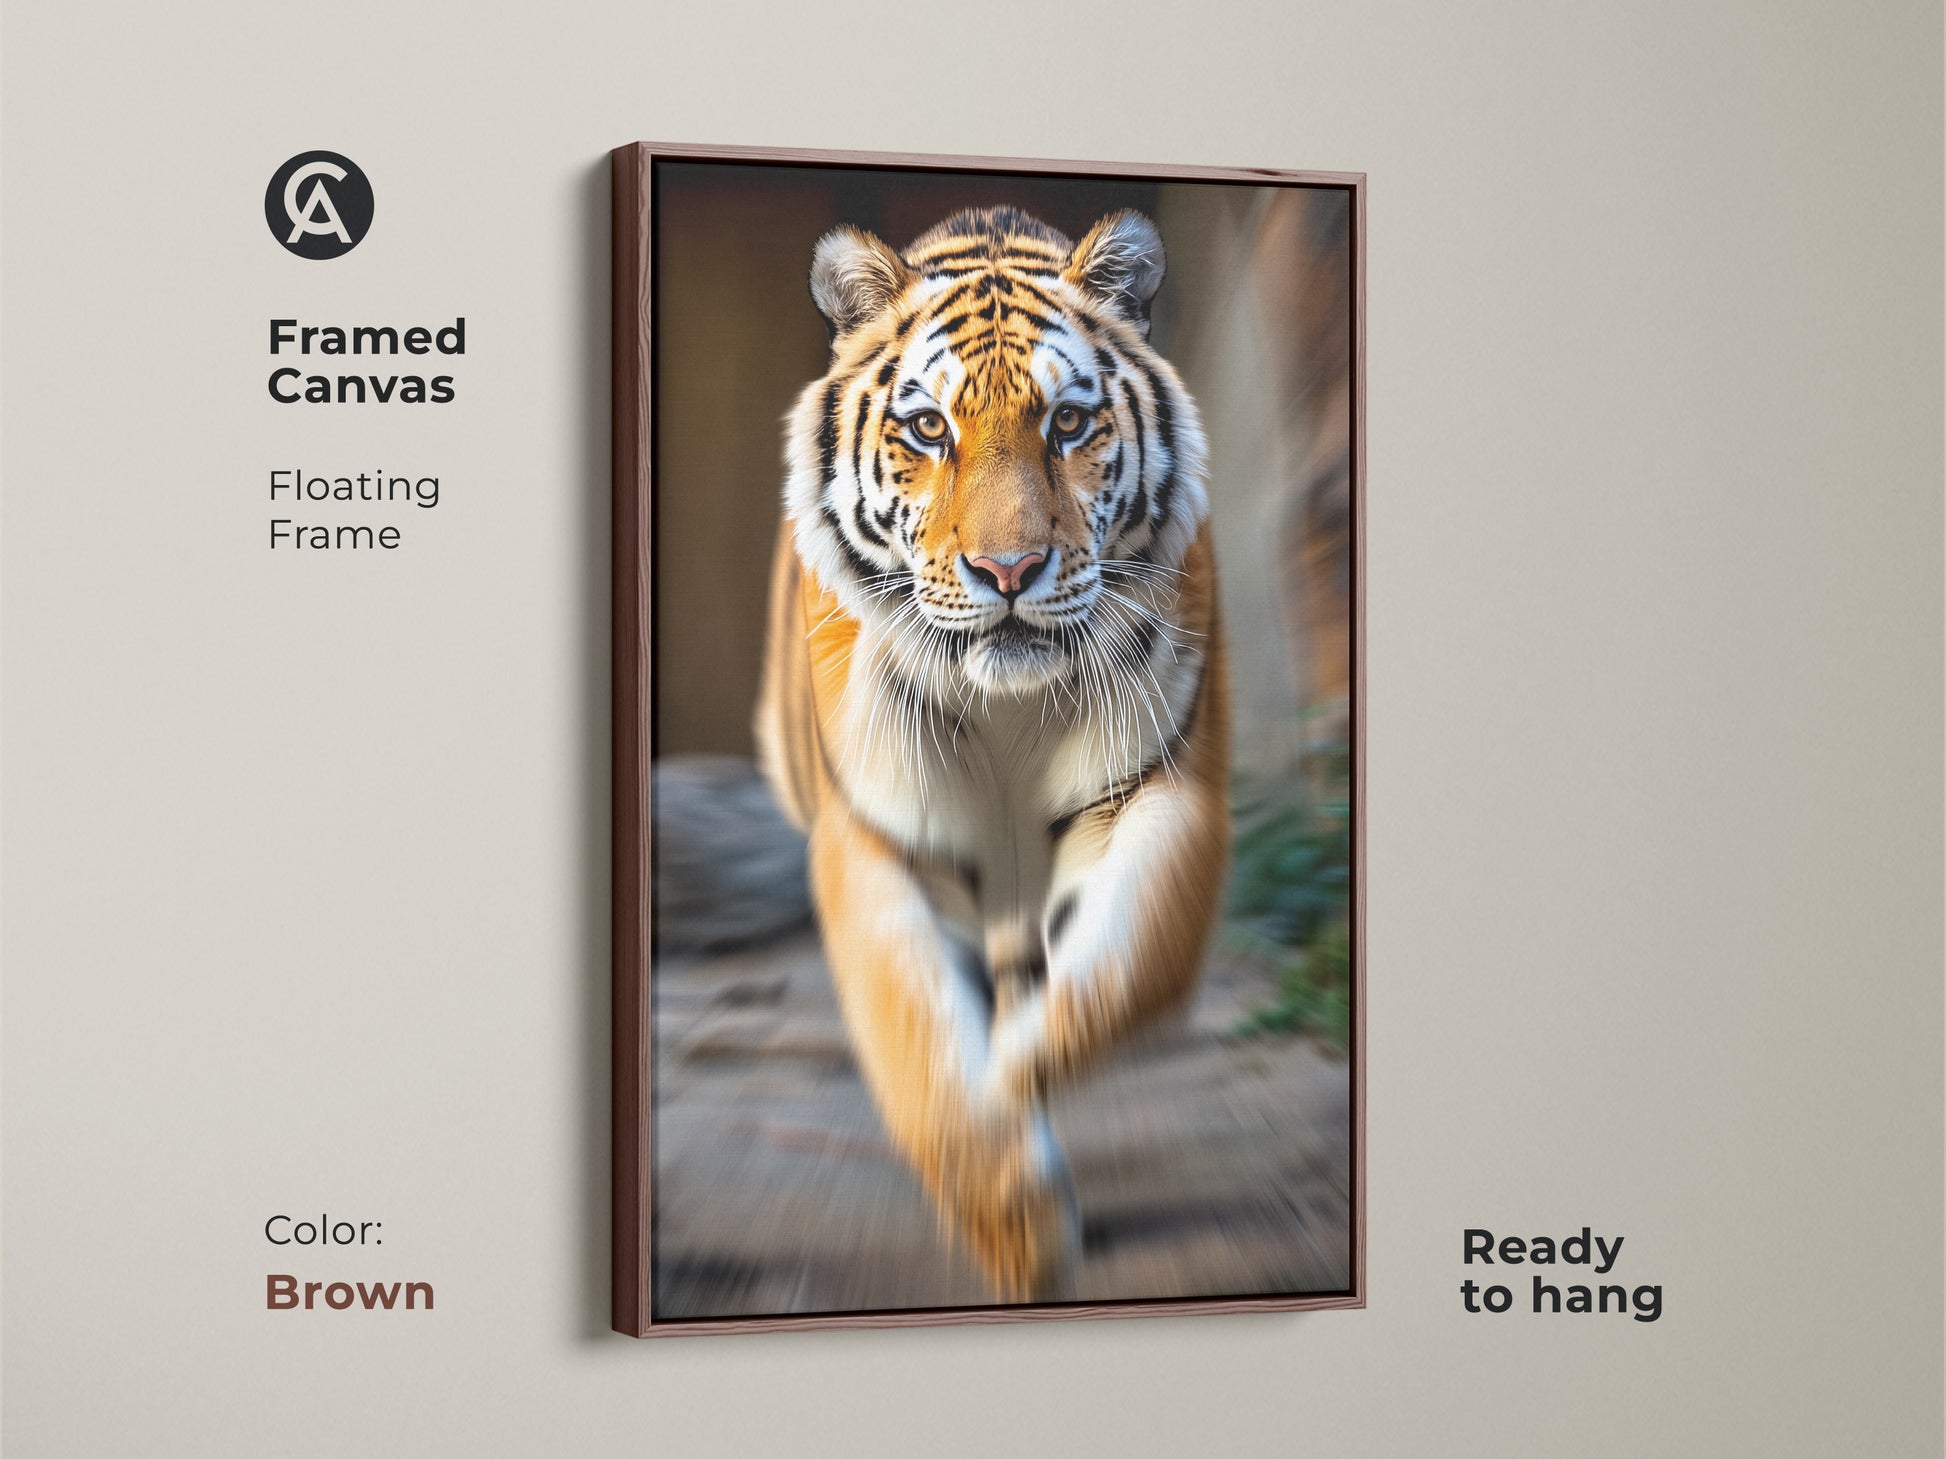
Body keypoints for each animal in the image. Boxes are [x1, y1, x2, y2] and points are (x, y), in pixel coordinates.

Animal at [754, 204, 1230, 1302]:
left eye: (1069, 424)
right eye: (929, 428)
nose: (1008, 570)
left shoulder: (1162, 789)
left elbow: (1125, 970)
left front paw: (1013, 1074)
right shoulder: (879, 838)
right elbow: (924, 1051)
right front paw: (1019, 1230)